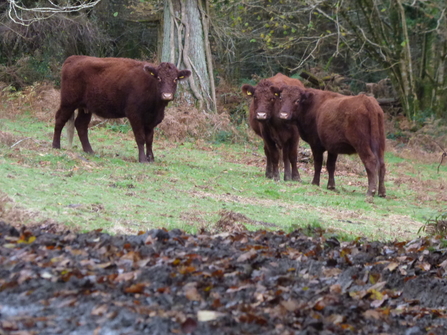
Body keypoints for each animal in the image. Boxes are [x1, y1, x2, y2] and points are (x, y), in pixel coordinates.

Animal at [52, 55, 191, 163]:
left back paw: (89, 151)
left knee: (81, 125)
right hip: (68, 102)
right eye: (159, 78)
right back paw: (56, 146)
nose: (167, 95)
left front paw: (151, 158)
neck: (156, 108)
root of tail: (74, 58)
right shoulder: (134, 114)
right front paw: (142, 159)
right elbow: (140, 138)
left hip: (85, 107)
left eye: (175, 79)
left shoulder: (151, 120)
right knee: (60, 119)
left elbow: (149, 139)